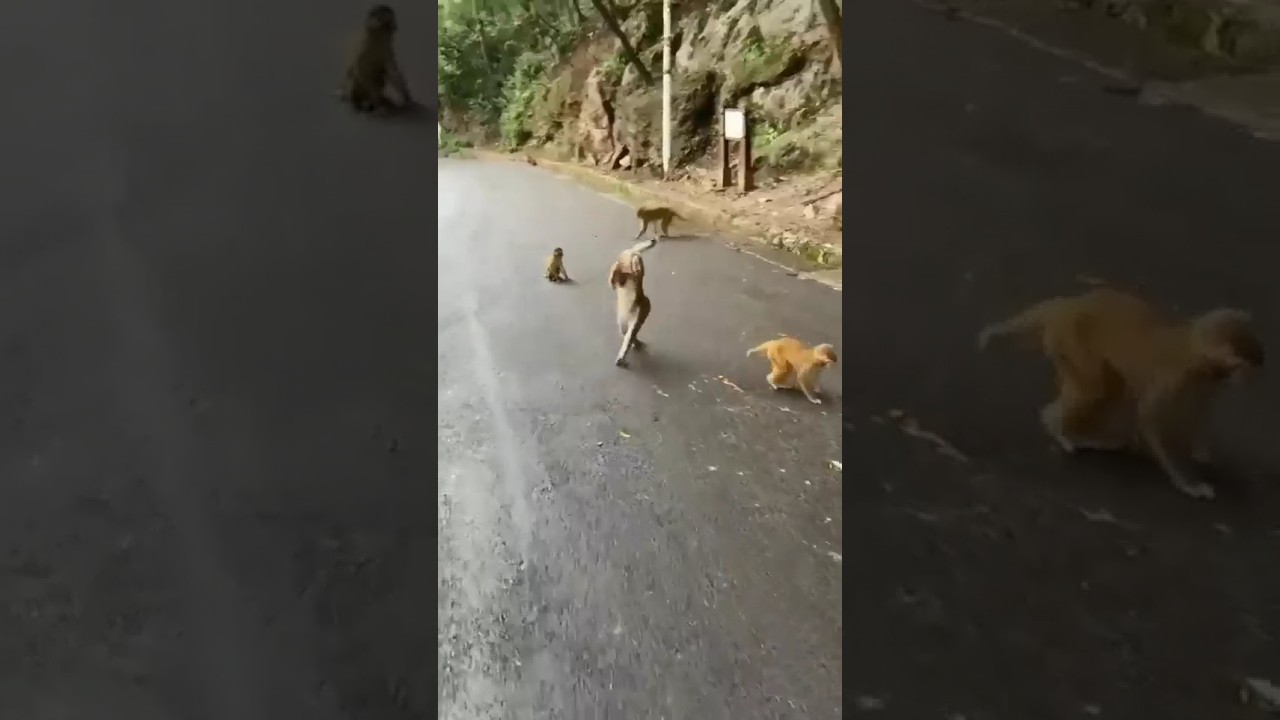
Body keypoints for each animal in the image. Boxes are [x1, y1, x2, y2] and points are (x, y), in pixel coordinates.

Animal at [608, 237, 659, 367]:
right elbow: (616, 275)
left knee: (629, 337)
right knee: (629, 336)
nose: (653, 240)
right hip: (623, 324)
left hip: (633, 320)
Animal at [978, 287, 1264, 499]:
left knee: (1109, 387)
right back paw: (1056, 427)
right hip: (1069, 338)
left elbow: (1198, 410)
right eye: (1247, 367)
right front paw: (1187, 482)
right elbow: (1151, 418)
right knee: (1093, 387)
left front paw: (1201, 452)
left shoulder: (1202, 383)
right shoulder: (1177, 377)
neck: (1199, 358)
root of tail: (1067, 305)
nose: (1251, 378)